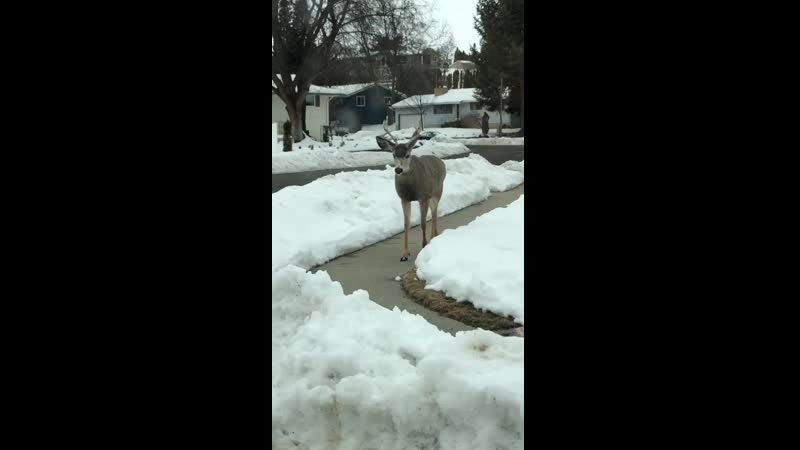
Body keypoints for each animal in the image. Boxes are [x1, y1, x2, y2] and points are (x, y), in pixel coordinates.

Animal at [376, 125, 446, 261]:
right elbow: (406, 224)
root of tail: (441, 162)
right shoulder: (404, 198)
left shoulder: (423, 196)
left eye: (407, 155)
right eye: (393, 154)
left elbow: (423, 222)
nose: (398, 170)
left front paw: (424, 245)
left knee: (434, 212)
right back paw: (433, 238)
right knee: (433, 212)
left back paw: (433, 238)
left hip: (437, 191)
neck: (410, 188)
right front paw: (404, 253)